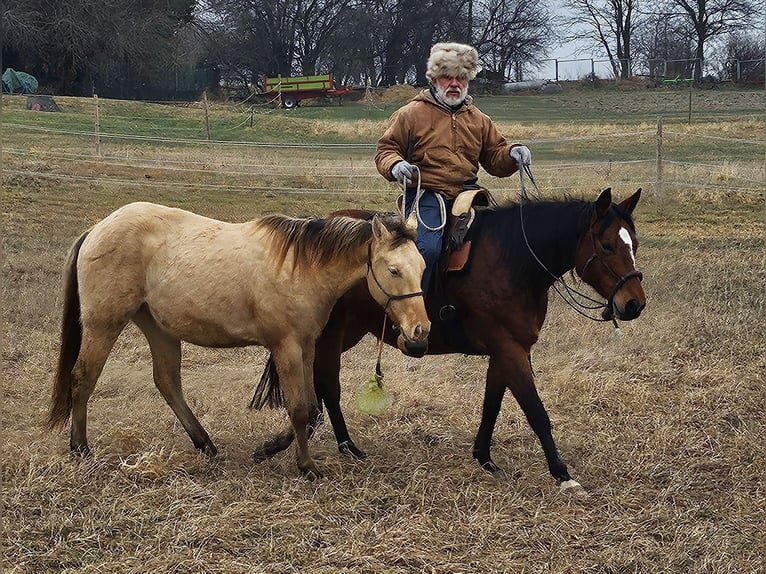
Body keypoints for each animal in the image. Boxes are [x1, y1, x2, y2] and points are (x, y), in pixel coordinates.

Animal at [47, 202, 430, 479]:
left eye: (423, 267)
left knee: (168, 382)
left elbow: (311, 406)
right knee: (82, 379)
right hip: (104, 325)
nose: (420, 332)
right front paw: (307, 467)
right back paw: (81, 448)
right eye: (393, 269)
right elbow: (299, 409)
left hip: (158, 328)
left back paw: (205, 444)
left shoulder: (307, 347)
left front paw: (275, 450)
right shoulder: (287, 348)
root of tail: (96, 229)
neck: (301, 267)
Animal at [250, 188, 646, 490]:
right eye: (607, 245)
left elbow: (492, 404)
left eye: (634, 243)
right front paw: (563, 474)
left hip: (347, 332)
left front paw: (484, 457)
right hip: (332, 335)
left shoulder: (506, 351)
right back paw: (339, 445)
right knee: (327, 386)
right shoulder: (510, 349)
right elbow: (535, 410)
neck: (513, 262)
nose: (634, 303)